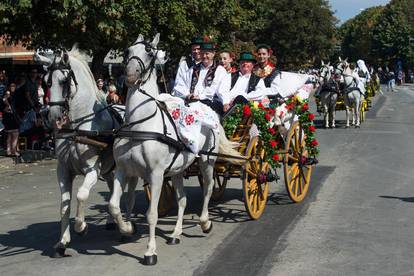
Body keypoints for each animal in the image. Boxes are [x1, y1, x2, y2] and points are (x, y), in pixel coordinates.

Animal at [36, 50, 135, 258]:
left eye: (64, 81)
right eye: (47, 82)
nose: (54, 116)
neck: (78, 128)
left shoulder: (92, 170)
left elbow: (81, 195)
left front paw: (81, 227)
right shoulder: (63, 170)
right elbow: (64, 204)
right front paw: (62, 242)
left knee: (128, 196)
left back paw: (126, 228)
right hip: (109, 169)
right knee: (113, 188)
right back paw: (111, 222)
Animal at [108, 34, 241, 266]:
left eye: (150, 52)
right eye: (127, 51)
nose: (130, 77)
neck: (139, 126)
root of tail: (212, 115)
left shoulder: (156, 174)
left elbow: (152, 214)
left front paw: (150, 251)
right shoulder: (123, 170)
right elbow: (115, 205)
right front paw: (127, 228)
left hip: (207, 161)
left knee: (207, 189)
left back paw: (205, 222)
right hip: (178, 169)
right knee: (182, 199)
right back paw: (176, 234)